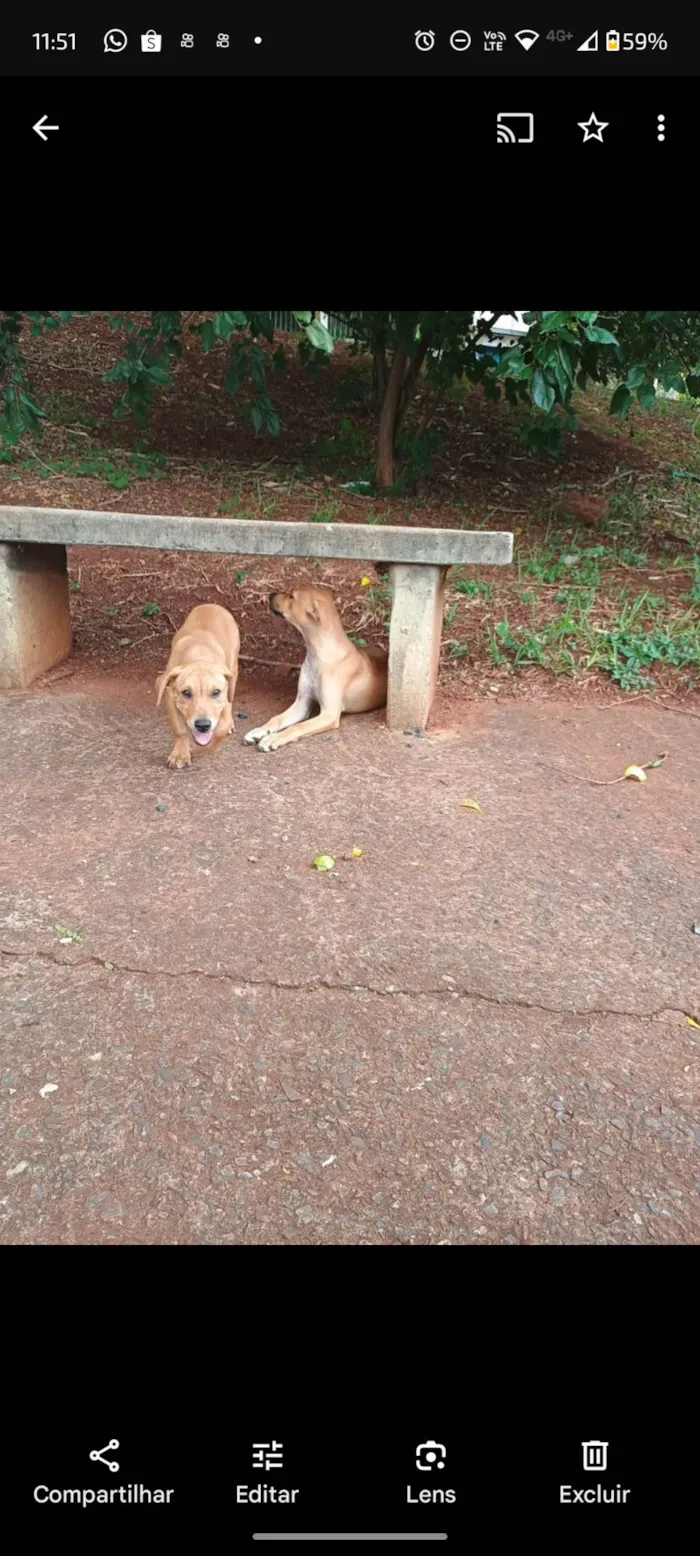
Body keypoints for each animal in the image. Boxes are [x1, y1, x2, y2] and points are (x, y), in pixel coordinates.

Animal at [154, 600, 239, 765]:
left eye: (216, 692)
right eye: (186, 693)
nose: (203, 725)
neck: (198, 655)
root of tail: (212, 605)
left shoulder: (224, 700)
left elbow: (220, 730)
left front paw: (205, 751)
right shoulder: (170, 697)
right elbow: (179, 729)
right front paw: (180, 754)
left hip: (234, 667)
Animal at [244, 585, 388, 749]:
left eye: (292, 596)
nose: (270, 594)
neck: (319, 654)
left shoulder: (329, 714)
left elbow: (298, 726)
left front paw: (273, 738)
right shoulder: (302, 704)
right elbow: (276, 718)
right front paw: (259, 731)